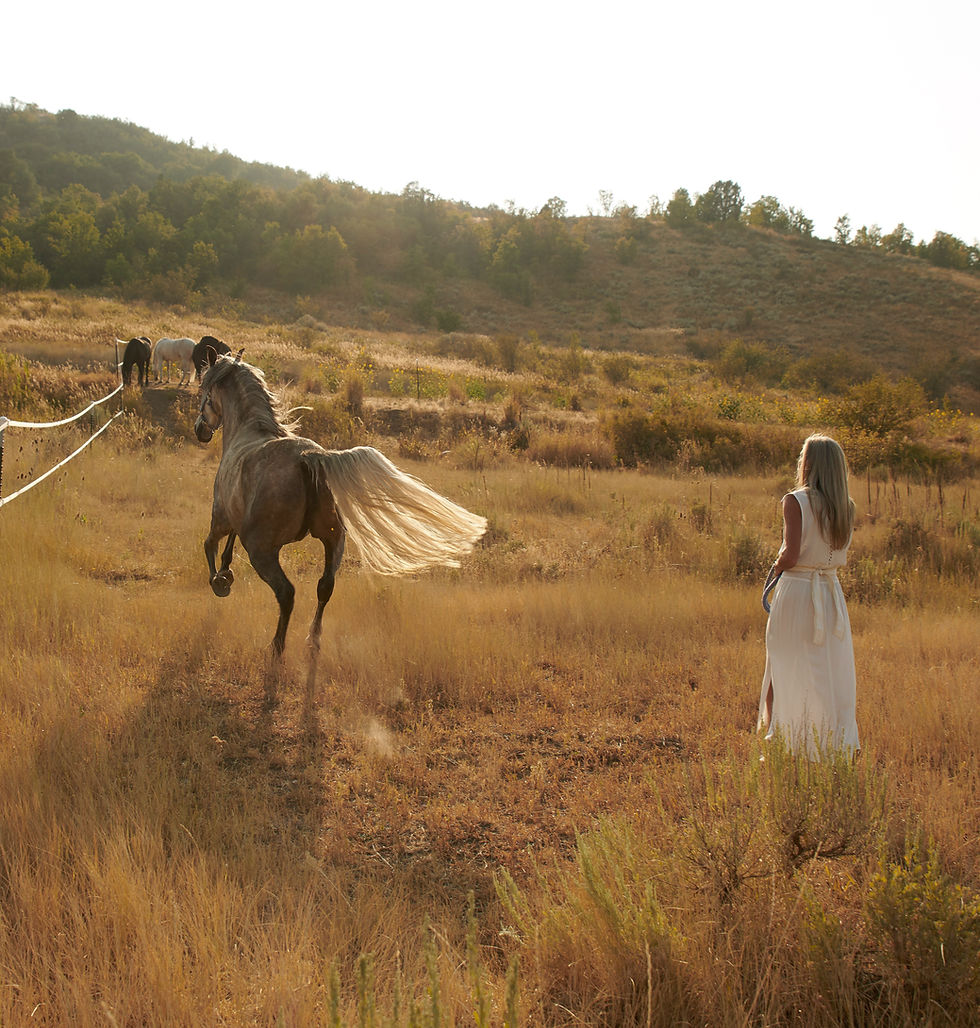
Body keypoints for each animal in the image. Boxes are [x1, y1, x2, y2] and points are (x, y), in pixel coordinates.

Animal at [193, 355, 487, 659]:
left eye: (203, 393)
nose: (200, 430)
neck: (248, 430)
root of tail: (308, 457)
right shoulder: (236, 519)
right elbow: (227, 546)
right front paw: (226, 572)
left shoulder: (221, 518)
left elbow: (209, 544)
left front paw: (220, 581)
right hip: (334, 539)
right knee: (325, 587)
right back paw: (313, 642)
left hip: (262, 551)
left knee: (286, 593)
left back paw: (277, 648)